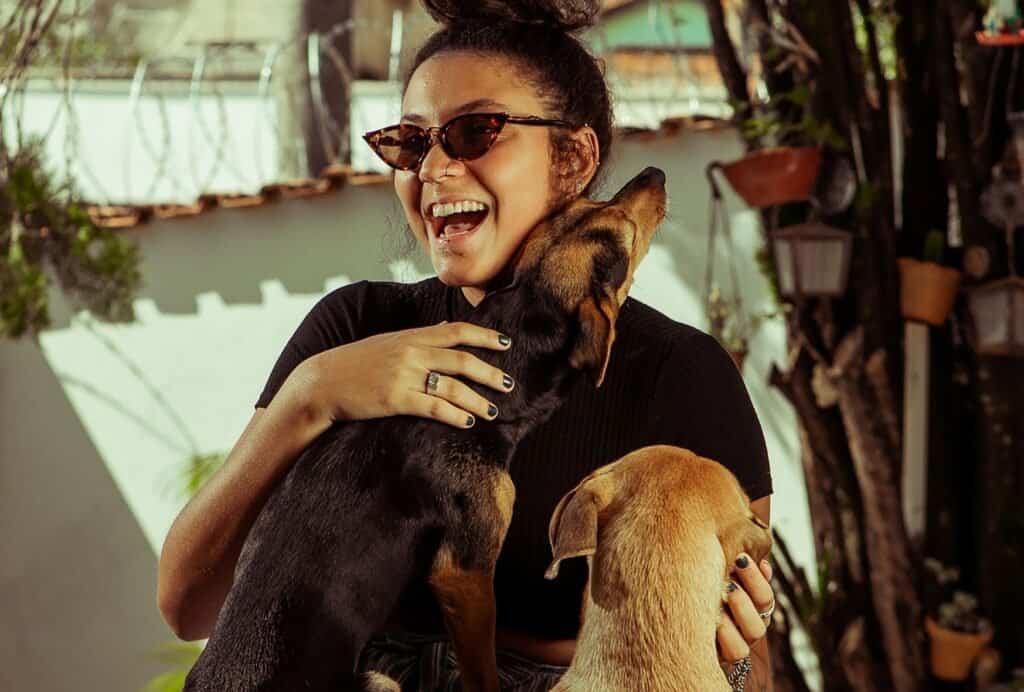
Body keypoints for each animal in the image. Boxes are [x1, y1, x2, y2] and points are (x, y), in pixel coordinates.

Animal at [181, 167, 667, 692]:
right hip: (379, 680)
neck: (505, 346)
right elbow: (483, 671)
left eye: (583, 207)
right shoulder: (465, 570)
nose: (655, 174)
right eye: (625, 228)